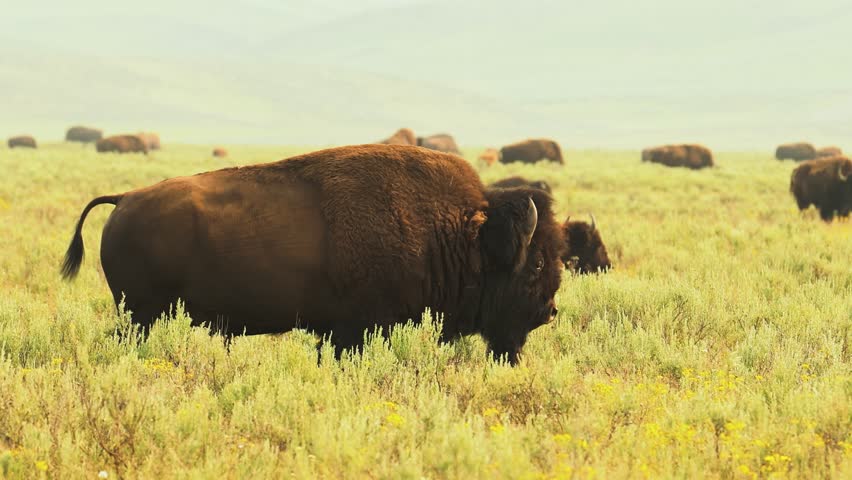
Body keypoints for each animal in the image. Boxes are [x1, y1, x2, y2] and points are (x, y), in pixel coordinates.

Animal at [61, 145, 565, 364]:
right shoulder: (359, 329)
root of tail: (124, 199)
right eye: (536, 262)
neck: (459, 232)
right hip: (141, 314)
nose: (549, 310)